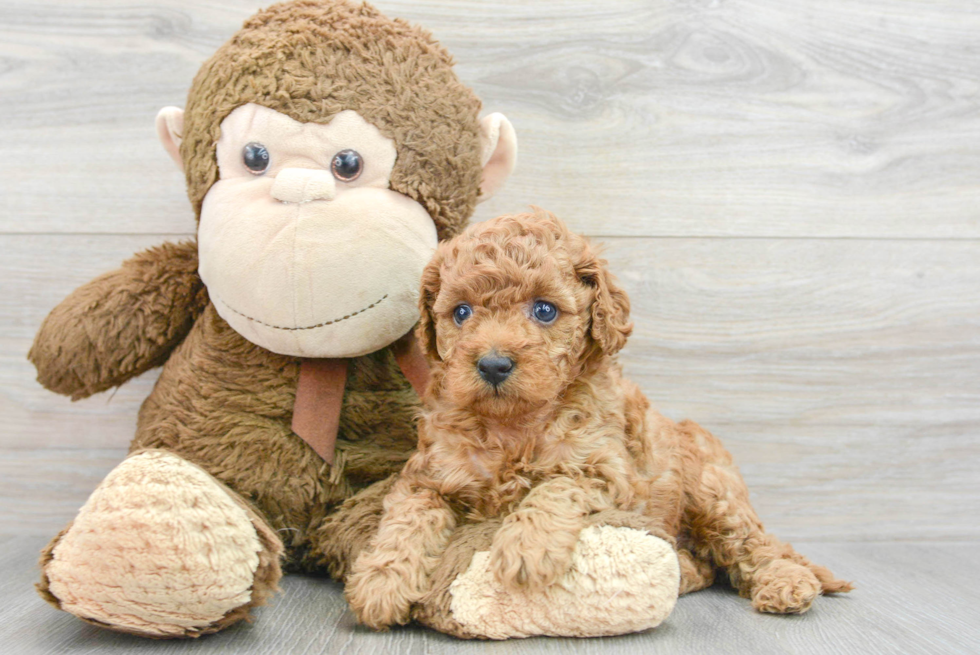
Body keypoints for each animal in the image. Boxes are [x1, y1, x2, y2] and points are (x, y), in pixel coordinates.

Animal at [346, 210, 848, 632]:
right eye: (461, 312)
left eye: (544, 309)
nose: (492, 364)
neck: (514, 426)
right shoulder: (426, 475)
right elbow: (407, 518)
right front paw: (380, 582)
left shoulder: (610, 473)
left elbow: (557, 484)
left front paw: (526, 547)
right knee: (707, 563)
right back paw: (683, 570)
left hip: (714, 493)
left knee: (756, 545)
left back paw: (786, 582)